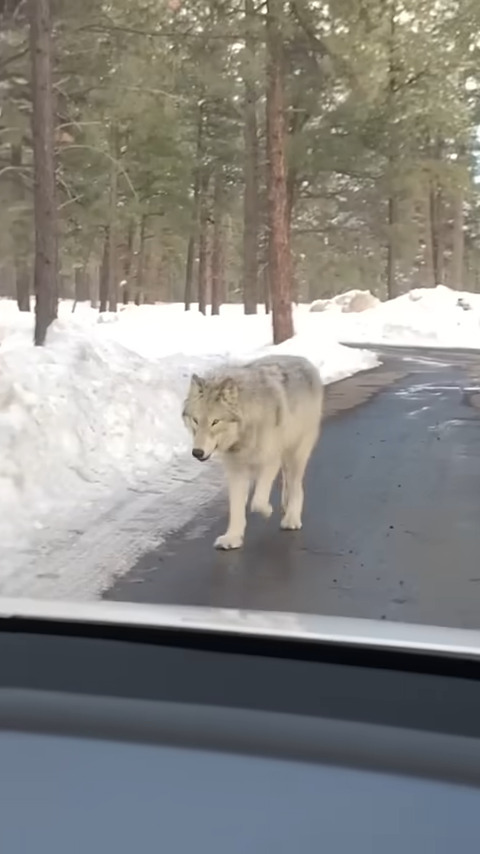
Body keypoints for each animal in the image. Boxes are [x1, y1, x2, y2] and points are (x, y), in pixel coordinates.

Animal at [182, 352, 324, 548]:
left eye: (215, 422)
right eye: (196, 420)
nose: (197, 452)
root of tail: (302, 359)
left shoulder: (270, 461)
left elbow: (257, 501)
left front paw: (267, 510)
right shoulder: (236, 470)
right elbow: (236, 508)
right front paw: (232, 538)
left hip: (296, 453)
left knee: (296, 486)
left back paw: (291, 518)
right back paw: (285, 506)